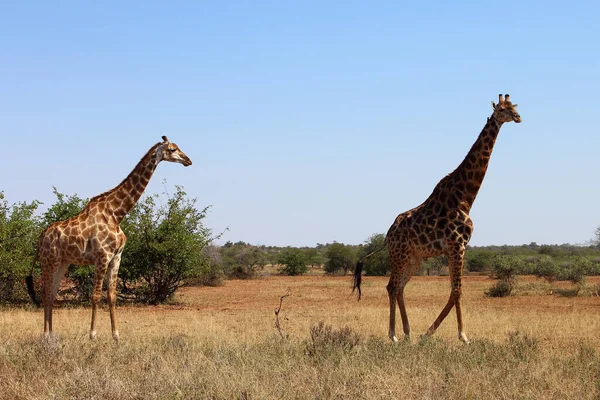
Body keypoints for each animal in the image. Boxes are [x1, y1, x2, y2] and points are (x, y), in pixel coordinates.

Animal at [27, 136, 192, 342]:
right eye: (172, 149)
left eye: (178, 147)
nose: (188, 160)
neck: (117, 214)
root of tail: (41, 237)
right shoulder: (102, 256)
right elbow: (96, 295)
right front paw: (92, 335)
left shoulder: (116, 257)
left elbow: (112, 296)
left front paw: (116, 336)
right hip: (49, 260)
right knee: (45, 293)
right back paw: (45, 336)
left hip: (63, 262)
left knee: (51, 294)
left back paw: (52, 335)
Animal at [354, 94, 524, 344]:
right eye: (502, 110)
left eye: (513, 107)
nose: (518, 117)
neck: (465, 197)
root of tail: (386, 236)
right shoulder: (456, 245)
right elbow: (457, 290)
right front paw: (462, 335)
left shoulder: (458, 247)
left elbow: (454, 291)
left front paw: (428, 332)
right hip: (400, 255)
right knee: (392, 286)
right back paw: (394, 335)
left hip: (414, 258)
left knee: (399, 287)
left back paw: (407, 332)